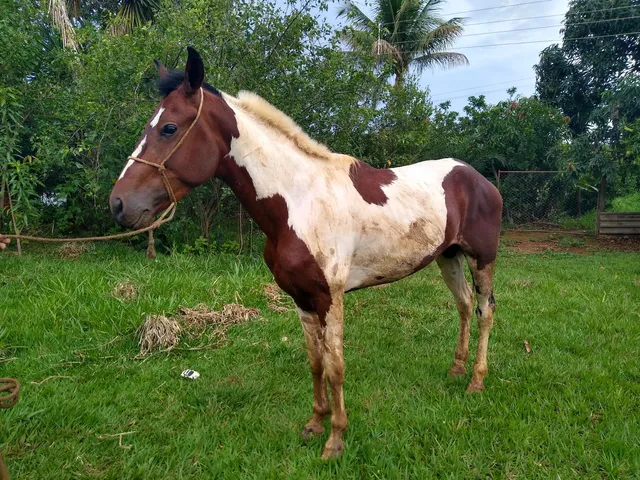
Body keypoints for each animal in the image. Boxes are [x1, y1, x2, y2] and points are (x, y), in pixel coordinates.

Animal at [109, 47, 503, 459]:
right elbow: (315, 362)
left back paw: (476, 381)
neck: (298, 202)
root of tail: (477, 178)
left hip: (482, 258)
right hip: (448, 257)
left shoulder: (330, 297)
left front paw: (336, 439)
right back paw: (456, 369)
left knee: (485, 311)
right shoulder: (300, 298)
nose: (119, 204)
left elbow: (335, 365)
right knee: (463, 305)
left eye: (169, 128)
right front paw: (315, 423)